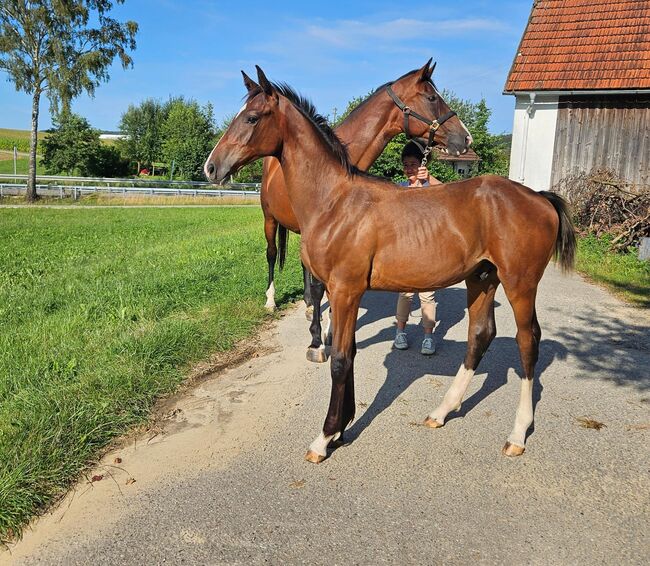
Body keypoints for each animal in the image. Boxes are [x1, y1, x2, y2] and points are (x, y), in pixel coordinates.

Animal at [260, 60, 470, 364]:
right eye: (432, 98)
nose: (466, 138)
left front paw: (330, 331)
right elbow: (318, 286)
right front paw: (317, 342)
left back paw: (309, 306)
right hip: (269, 219)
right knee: (272, 254)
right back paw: (271, 300)